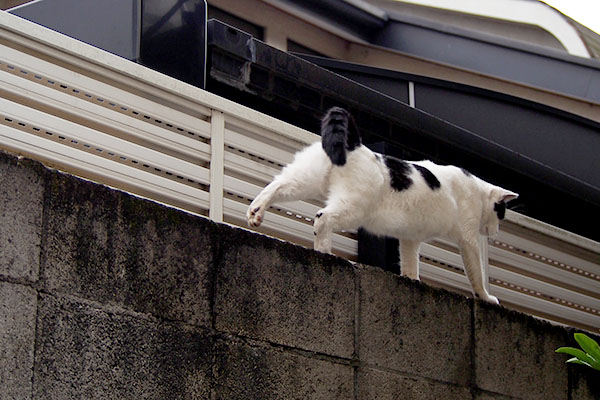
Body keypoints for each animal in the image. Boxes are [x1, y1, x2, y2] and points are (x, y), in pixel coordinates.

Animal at [246, 108, 516, 302]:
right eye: (501, 215)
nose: (495, 232)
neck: (477, 191)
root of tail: (355, 142)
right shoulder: (468, 239)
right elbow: (476, 272)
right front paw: (487, 297)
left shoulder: (410, 238)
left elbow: (409, 263)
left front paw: (412, 280)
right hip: (353, 207)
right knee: (322, 217)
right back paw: (323, 252)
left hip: (304, 179)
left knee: (276, 186)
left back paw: (255, 213)